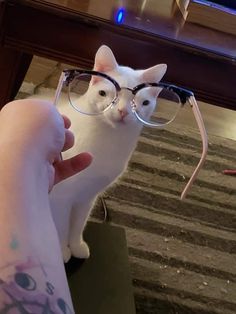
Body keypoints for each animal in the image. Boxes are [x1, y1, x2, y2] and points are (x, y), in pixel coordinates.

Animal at [48, 44, 166, 262]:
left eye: (143, 103)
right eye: (104, 93)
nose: (123, 111)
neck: (107, 141)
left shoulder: (86, 197)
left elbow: (77, 226)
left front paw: (76, 246)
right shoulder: (61, 197)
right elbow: (60, 227)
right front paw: (62, 251)